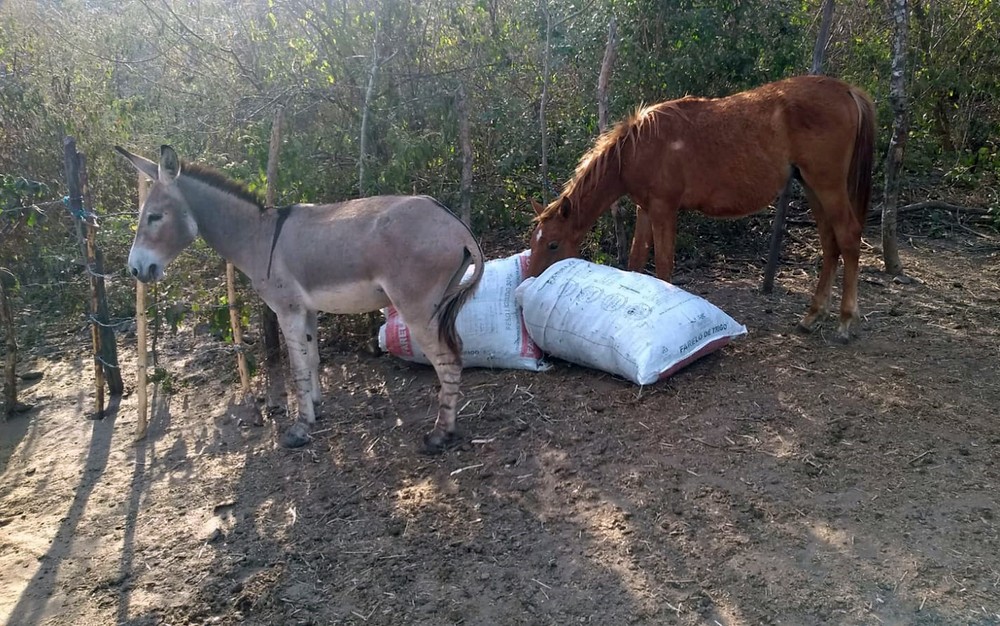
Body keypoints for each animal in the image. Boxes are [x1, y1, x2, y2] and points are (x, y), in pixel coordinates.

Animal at [117, 144, 484, 450]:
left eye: (154, 217)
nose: (135, 269)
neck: (258, 235)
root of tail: (456, 225)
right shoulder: (307, 309)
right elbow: (312, 359)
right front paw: (316, 408)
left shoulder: (287, 309)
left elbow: (296, 367)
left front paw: (300, 427)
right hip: (440, 302)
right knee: (455, 352)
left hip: (417, 306)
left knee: (448, 359)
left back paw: (440, 434)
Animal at [528, 75, 872, 344]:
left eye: (553, 244)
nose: (530, 281)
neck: (638, 148)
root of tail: (846, 90)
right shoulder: (645, 209)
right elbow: (637, 260)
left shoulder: (664, 209)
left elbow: (663, 264)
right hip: (813, 187)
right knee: (830, 243)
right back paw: (813, 316)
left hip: (827, 185)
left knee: (848, 237)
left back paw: (845, 321)